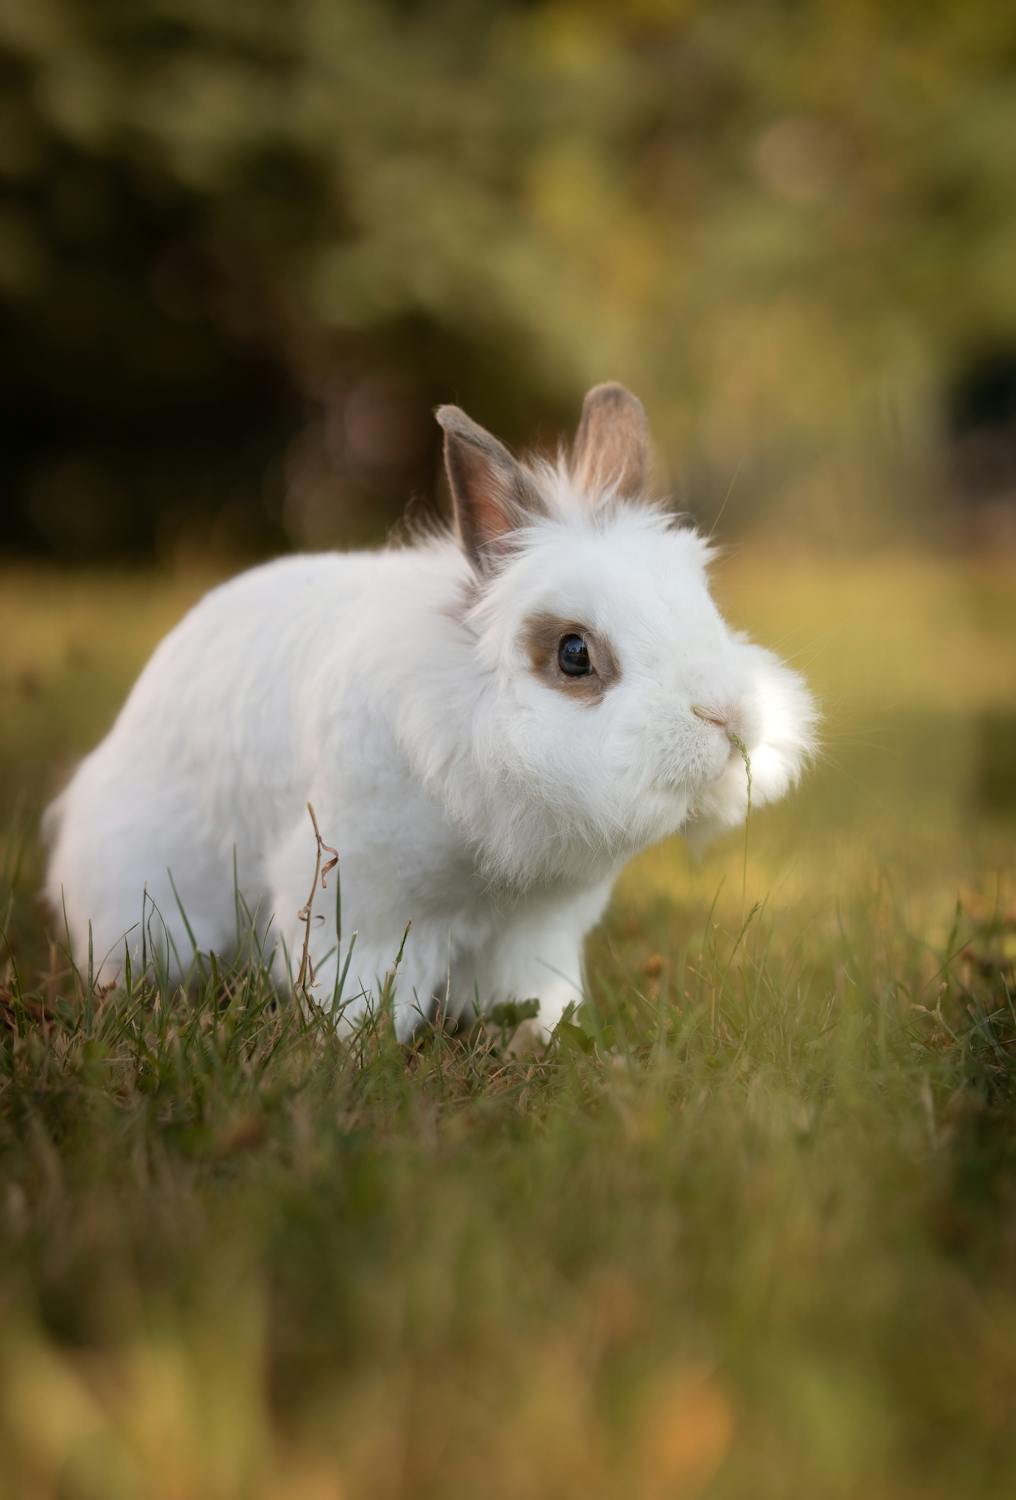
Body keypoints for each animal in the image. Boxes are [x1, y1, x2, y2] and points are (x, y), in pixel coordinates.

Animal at [44, 383, 816, 1040]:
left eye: (706, 607)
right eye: (574, 653)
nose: (729, 719)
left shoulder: (536, 930)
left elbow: (535, 989)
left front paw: (541, 1034)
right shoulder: (358, 898)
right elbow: (358, 984)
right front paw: (354, 1045)